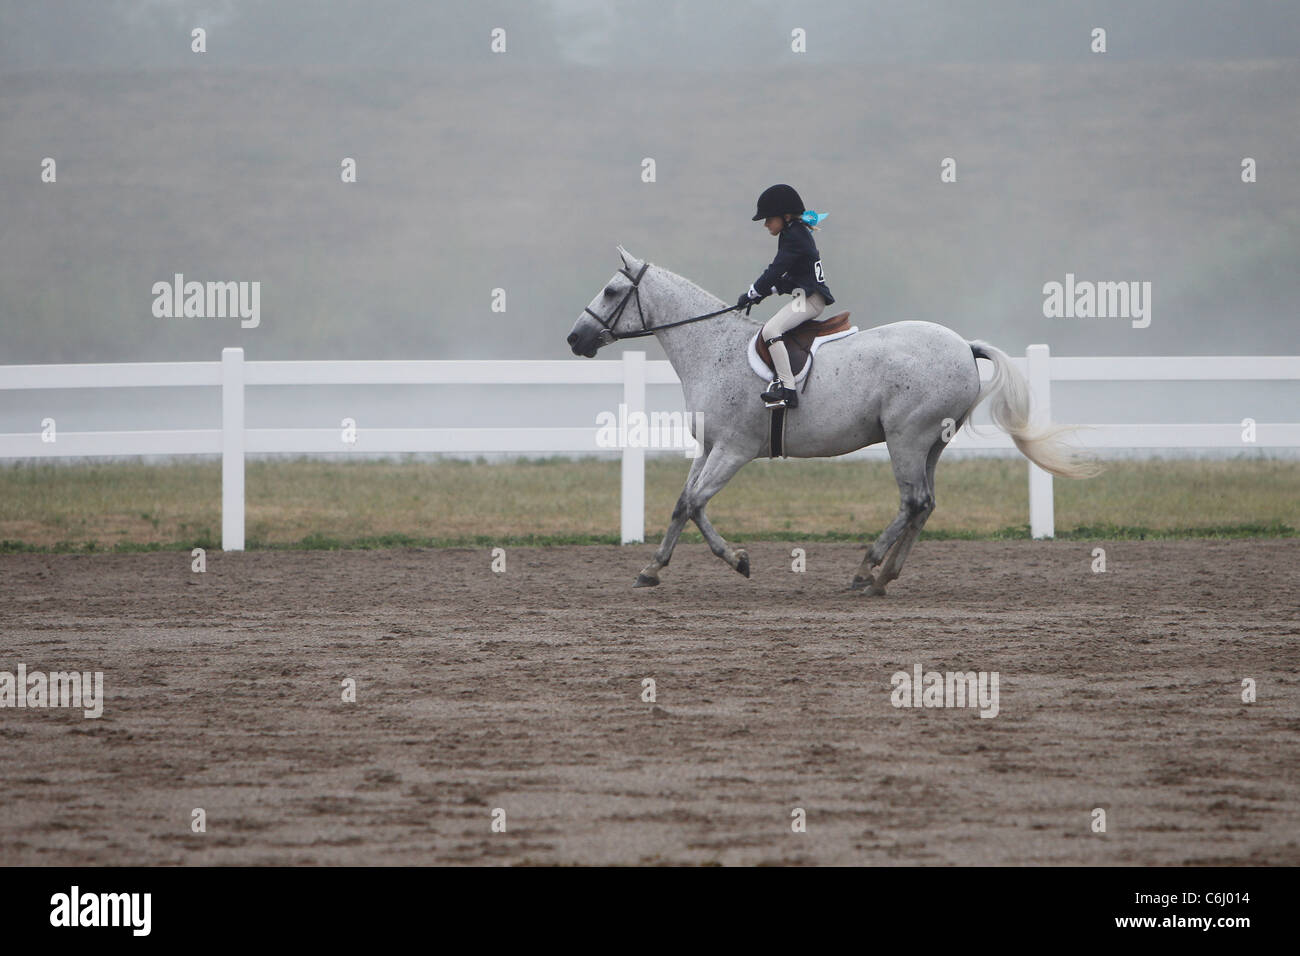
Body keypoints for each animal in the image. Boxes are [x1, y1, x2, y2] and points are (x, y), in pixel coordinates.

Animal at [566, 247, 1097, 595]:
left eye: (612, 290)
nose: (575, 339)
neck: (712, 349)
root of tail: (964, 346)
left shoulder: (733, 450)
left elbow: (696, 504)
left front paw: (738, 560)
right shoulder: (710, 447)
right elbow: (682, 505)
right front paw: (652, 569)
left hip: (905, 438)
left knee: (913, 501)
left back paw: (866, 571)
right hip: (931, 444)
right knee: (924, 505)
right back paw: (884, 578)